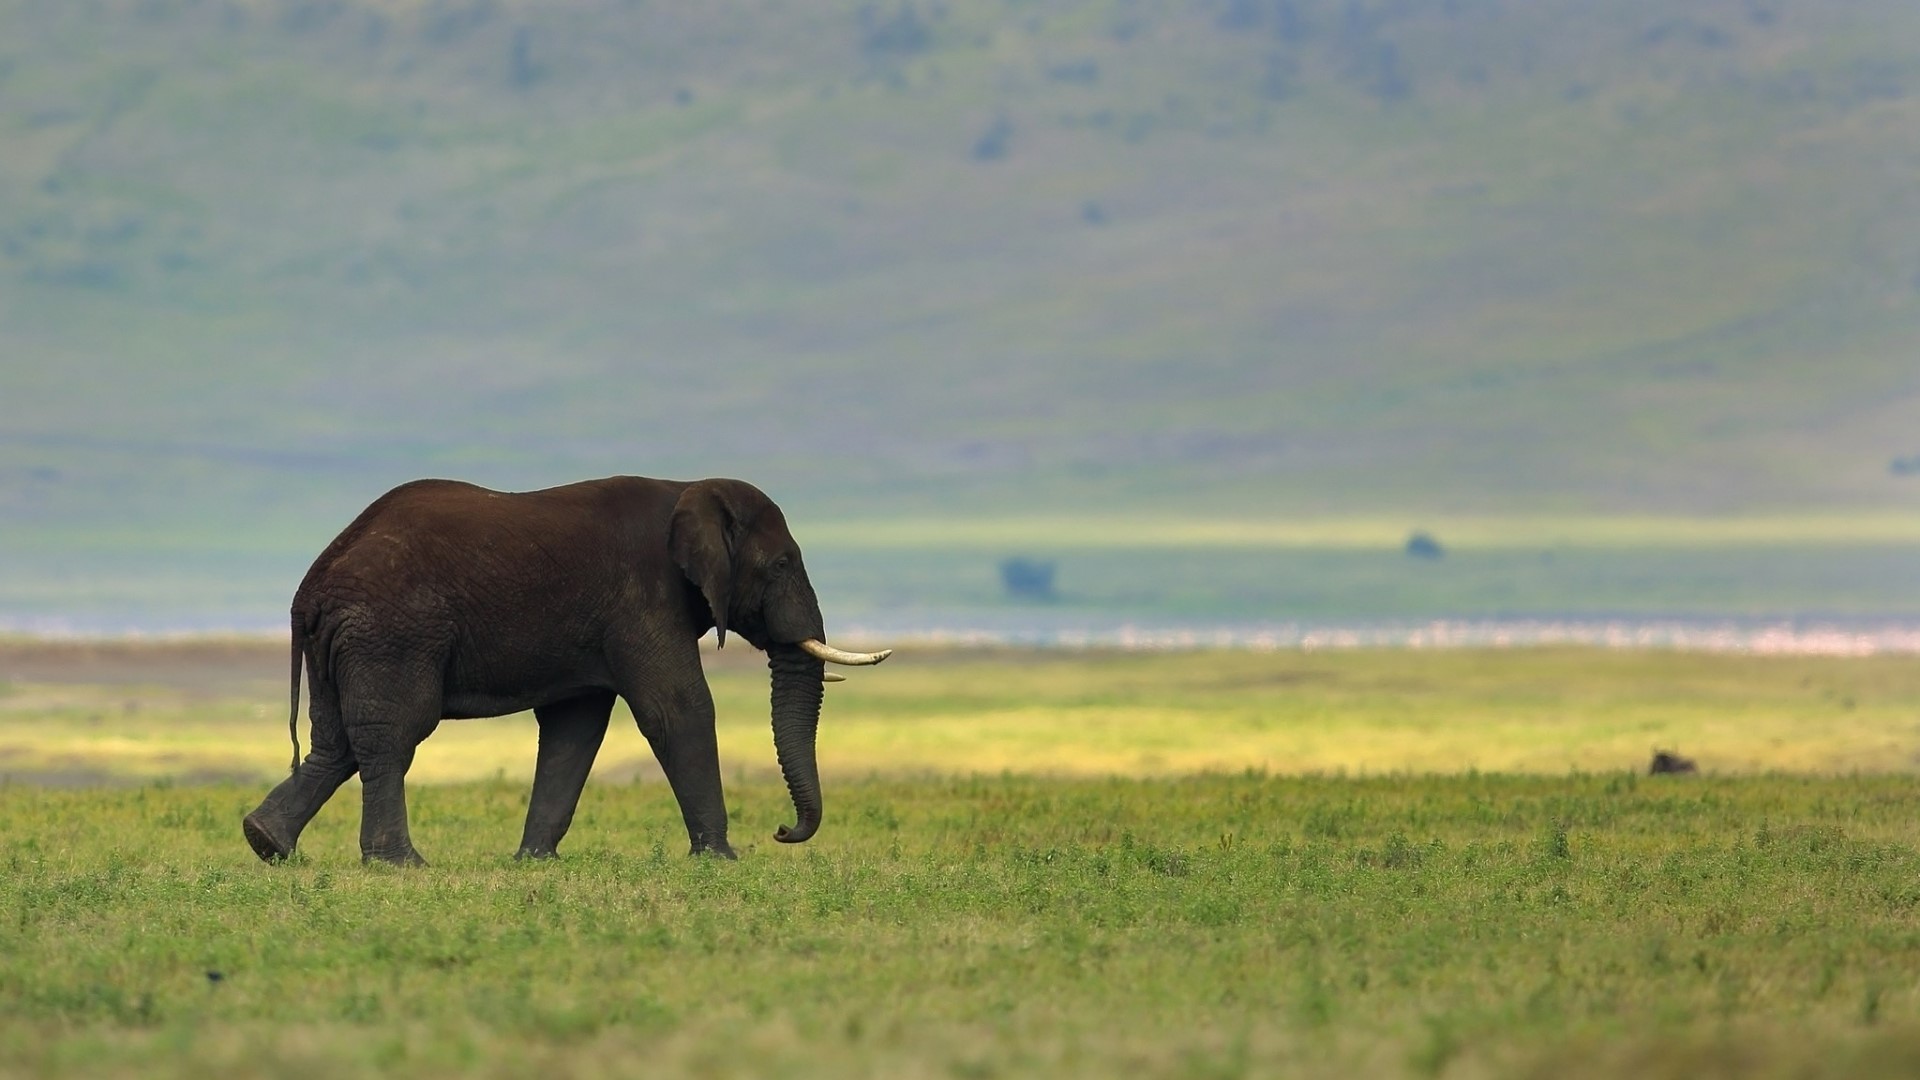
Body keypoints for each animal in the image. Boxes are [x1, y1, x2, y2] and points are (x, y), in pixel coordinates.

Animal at [240, 475, 890, 866]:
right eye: (781, 564)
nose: (781, 832)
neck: (686, 489)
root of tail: (313, 585)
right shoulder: (642, 600)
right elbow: (678, 709)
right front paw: (721, 860)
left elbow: (574, 731)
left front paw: (534, 863)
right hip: (392, 634)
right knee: (392, 737)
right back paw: (401, 865)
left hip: (347, 642)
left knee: (337, 744)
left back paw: (266, 842)